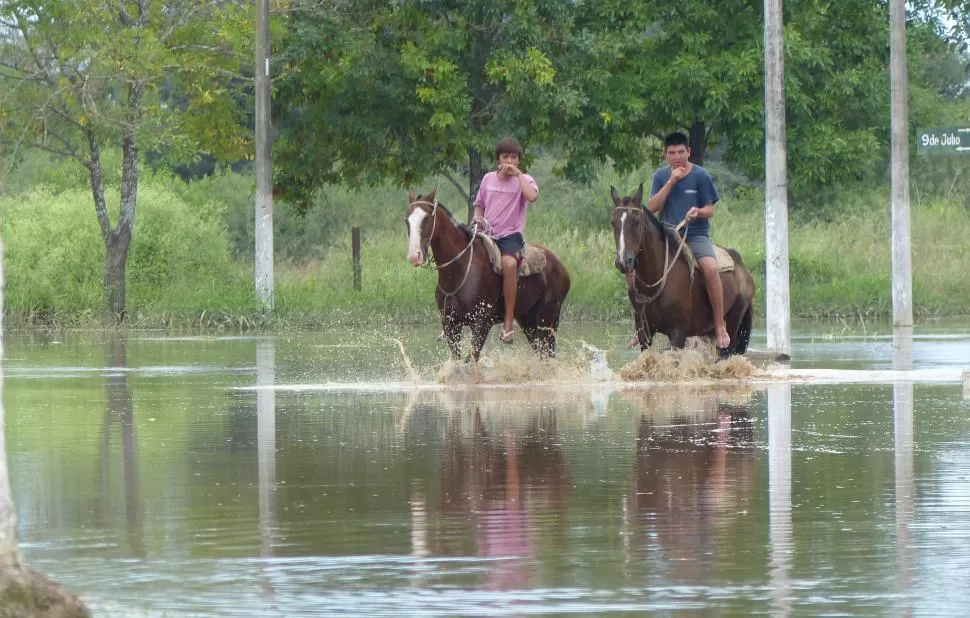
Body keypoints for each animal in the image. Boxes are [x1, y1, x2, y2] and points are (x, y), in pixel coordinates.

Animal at [402, 188, 568, 360]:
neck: (458, 272)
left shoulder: (481, 324)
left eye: (426, 218)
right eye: (406, 220)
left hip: (546, 319)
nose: (414, 256)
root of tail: (560, 266)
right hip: (527, 320)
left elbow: (470, 360)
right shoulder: (450, 325)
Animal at [608, 183, 752, 354]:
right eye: (613, 223)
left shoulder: (678, 334)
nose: (623, 261)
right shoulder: (644, 332)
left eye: (636, 222)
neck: (656, 278)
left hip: (733, 323)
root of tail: (743, 269)